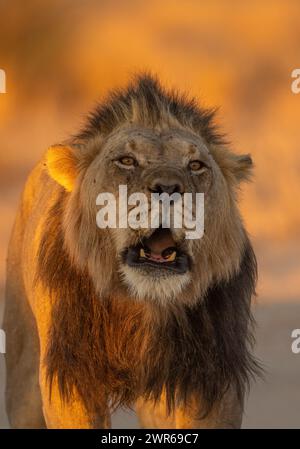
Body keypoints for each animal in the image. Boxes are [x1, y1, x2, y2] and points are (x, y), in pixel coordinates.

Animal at [3, 73, 258, 428]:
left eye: (195, 165)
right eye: (126, 160)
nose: (168, 188)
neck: (143, 303)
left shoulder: (211, 378)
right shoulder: (71, 375)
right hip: (23, 374)